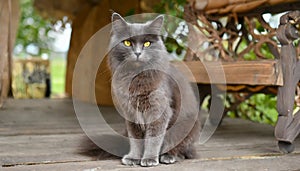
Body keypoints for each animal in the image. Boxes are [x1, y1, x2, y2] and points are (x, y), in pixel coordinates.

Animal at [108, 13, 202, 167]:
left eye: (147, 43)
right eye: (127, 43)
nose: (138, 53)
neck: (136, 77)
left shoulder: (159, 111)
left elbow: (153, 139)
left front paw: (149, 159)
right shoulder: (131, 114)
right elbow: (135, 139)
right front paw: (133, 158)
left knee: (181, 149)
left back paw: (168, 156)